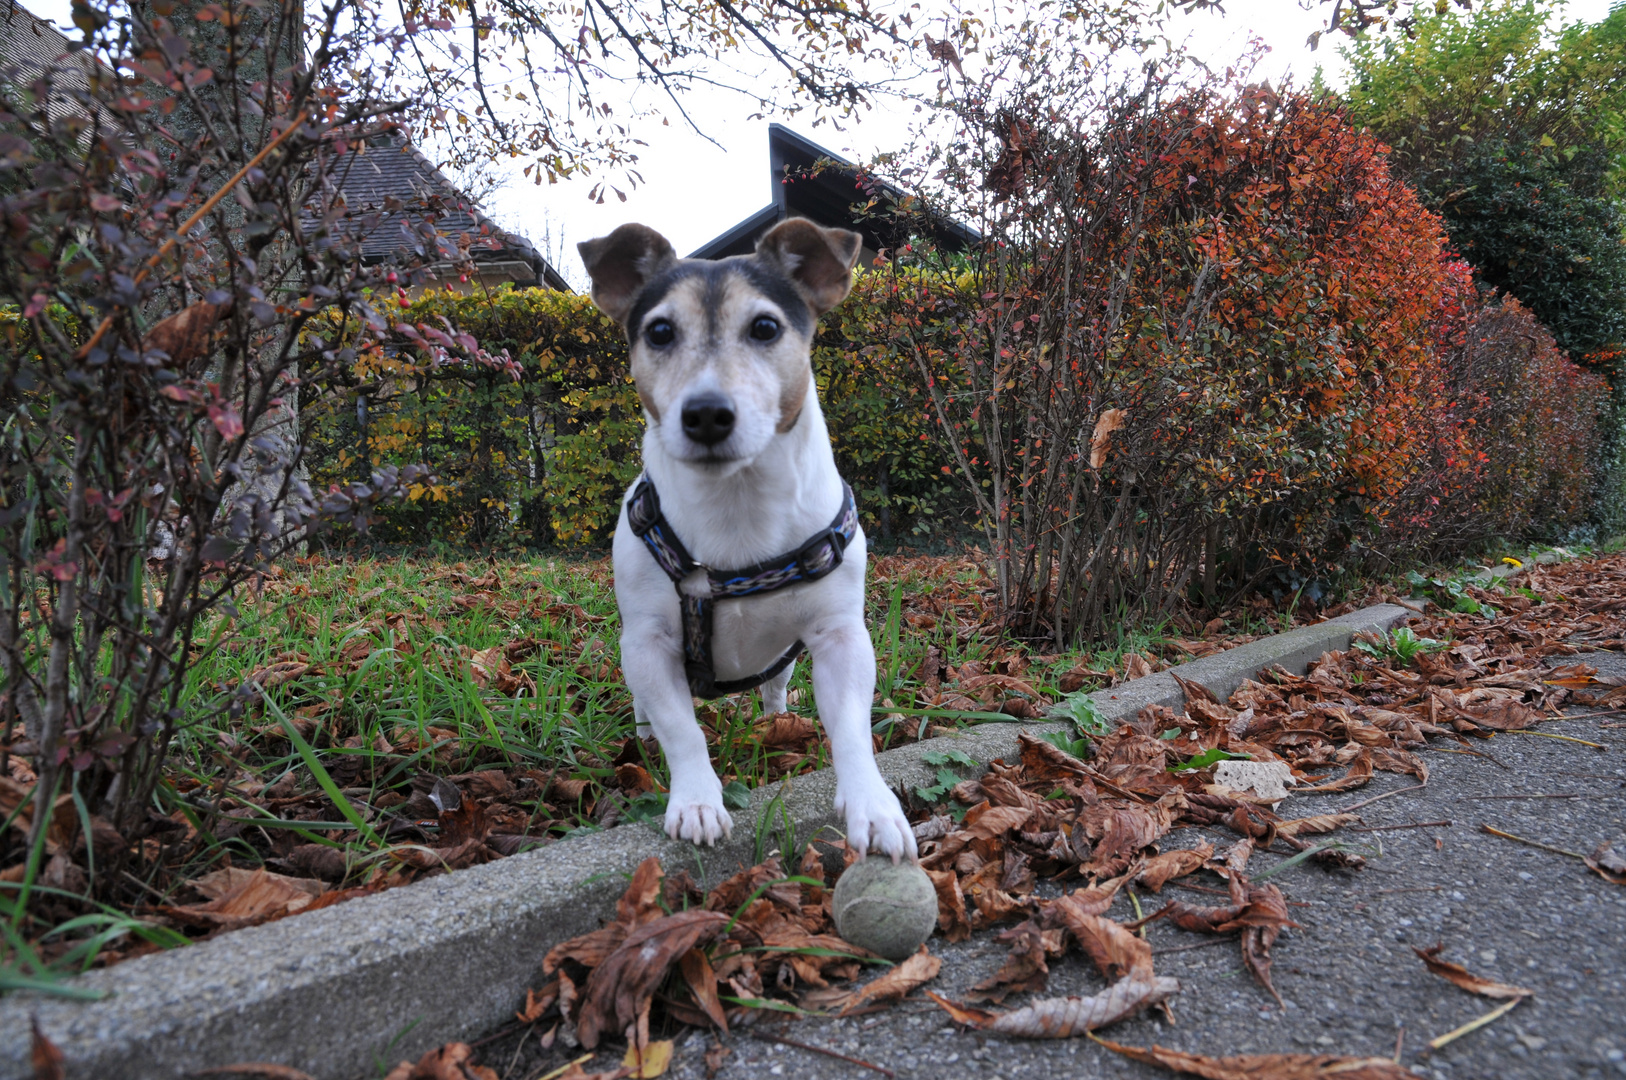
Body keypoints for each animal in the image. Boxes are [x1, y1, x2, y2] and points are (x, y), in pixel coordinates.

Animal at [582, 217, 917, 858]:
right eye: (659, 331)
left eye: (765, 327)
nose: (707, 413)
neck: (736, 503)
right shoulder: (649, 643)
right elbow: (682, 730)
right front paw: (695, 800)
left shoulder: (839, 638)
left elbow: (852, 727)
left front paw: (874, 805)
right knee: (648, 711)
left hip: (784, 657)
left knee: (775, 686)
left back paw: (772, 718)